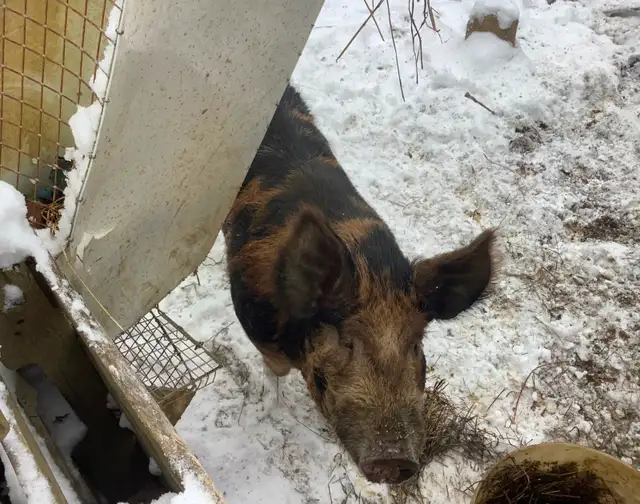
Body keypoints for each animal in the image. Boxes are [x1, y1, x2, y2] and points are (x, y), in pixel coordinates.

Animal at [222, 84, 496, 485]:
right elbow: (275, 372)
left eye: (416, 343)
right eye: (347, 340)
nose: (393, 458)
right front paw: (271, 412)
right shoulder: (257, 326)